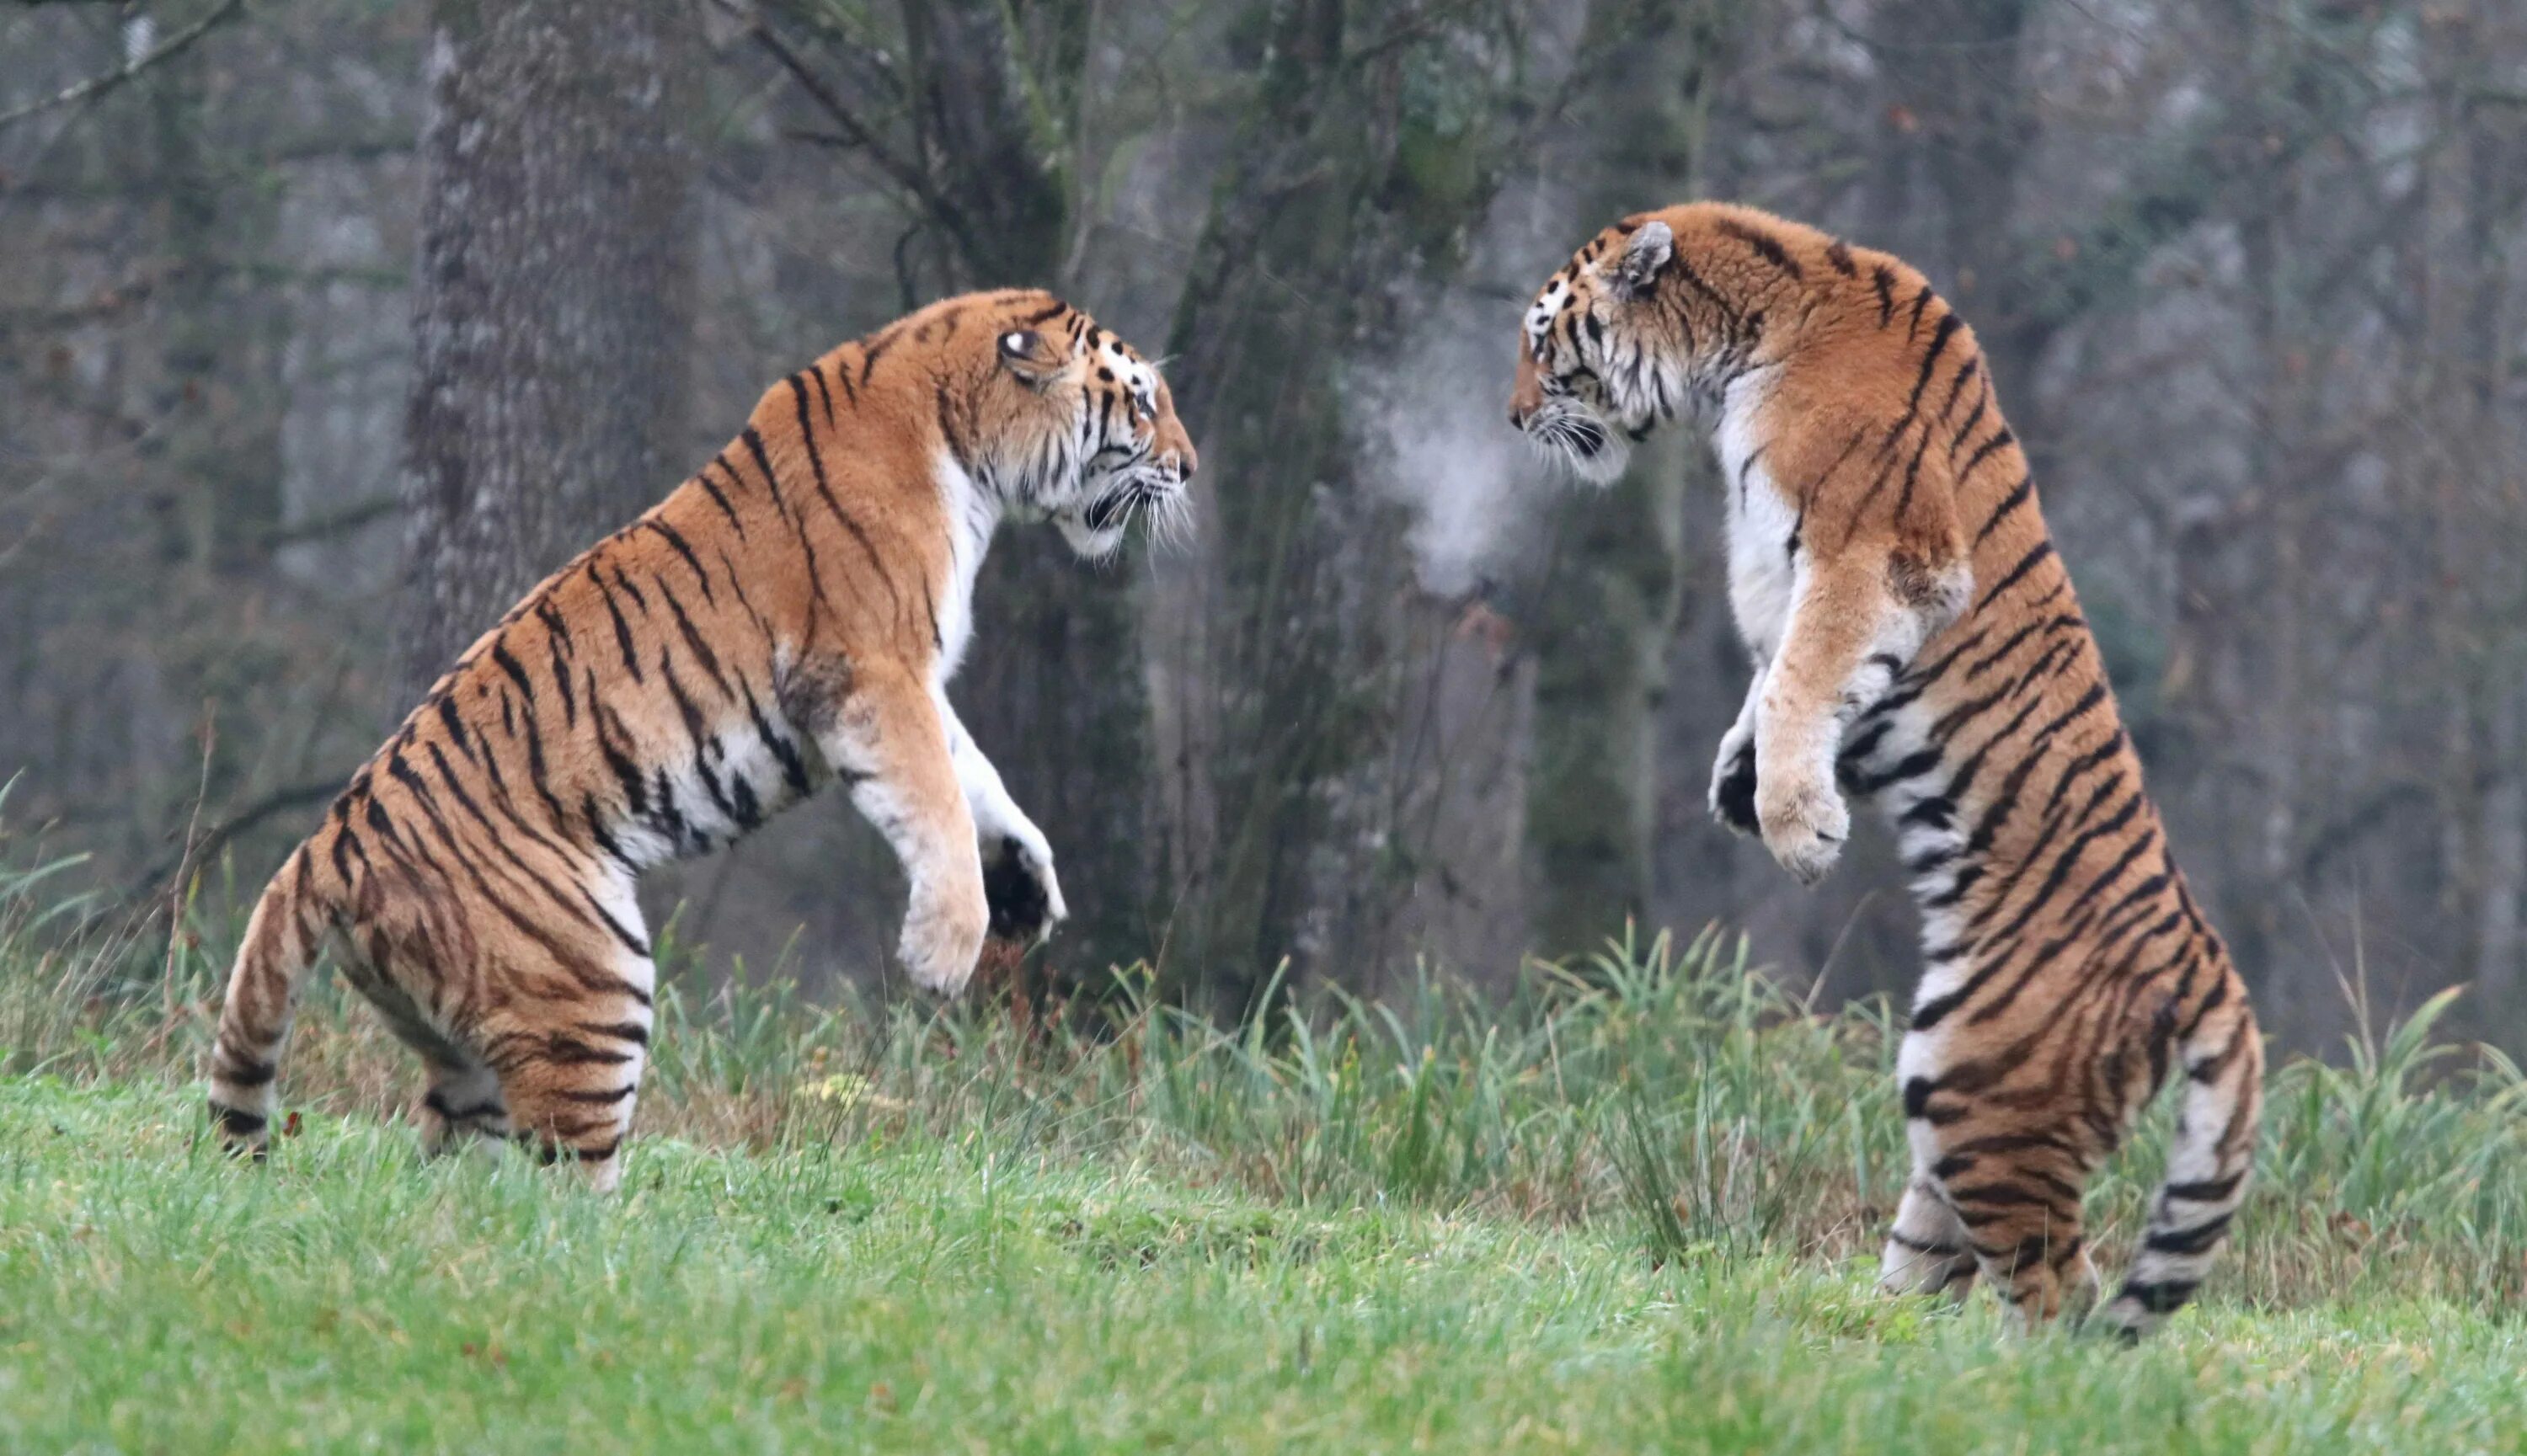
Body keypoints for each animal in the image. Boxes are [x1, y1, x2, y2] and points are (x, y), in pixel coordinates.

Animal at [212, 291, 1198, 1187]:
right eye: (1141, 402)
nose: (1190, 469)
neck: (971, 455)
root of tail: (324, 848)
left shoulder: (916, 680)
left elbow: (974, 780)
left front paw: (1026, 884)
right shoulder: (871, 672)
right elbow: (933, 798)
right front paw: (943, 952)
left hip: (469, 1049)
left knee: (458, 1178)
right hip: (595, 984)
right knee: (559, 1187)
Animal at [1506, 205, 2264, 1344]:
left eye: (1542, 338)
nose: (1511, 419)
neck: (1743, 344)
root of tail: (2204, 961)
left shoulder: (1875, 554)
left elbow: (1800, 672)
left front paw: (1797, 828)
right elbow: (1774, 677)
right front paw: (1739, 782)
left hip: (1981, 1088)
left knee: (2064, 1296)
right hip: (1951, 1093)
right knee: (1972, 1264)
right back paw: (1885, 1342)